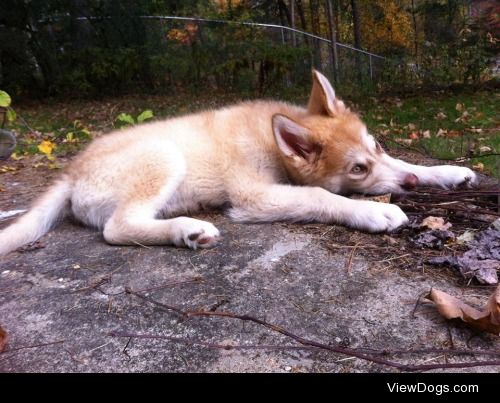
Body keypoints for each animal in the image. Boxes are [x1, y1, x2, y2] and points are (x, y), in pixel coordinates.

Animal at [0, 70, 476, 256]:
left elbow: (407, 161)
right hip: (163, 156)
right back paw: (187, 231)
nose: (410, 185)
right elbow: (320, 195)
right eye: (357, 169)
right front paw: (374, 211)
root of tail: (71, 170)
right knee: (116, 229)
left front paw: (448, 172)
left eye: (375, 147)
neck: (269, 138)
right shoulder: (255, 196)